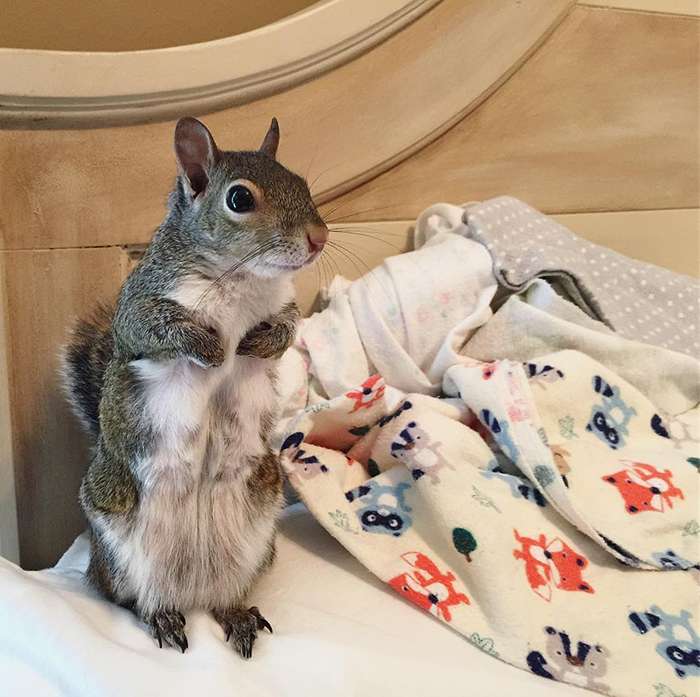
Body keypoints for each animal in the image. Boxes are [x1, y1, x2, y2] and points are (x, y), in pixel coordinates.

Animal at [60, 115, 328, 656]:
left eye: (302, 183)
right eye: (239, 199)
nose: (319, 237)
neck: (242, 278)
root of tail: (193, 591)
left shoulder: (284, 305)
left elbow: (289, 329)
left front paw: (260, 343)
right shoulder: (140, 305)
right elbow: (150, 328)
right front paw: (210, 349)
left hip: (254, 535)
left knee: (226, 594)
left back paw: (235, 613)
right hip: (120, 545)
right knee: (132, 599)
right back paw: (161, 616)